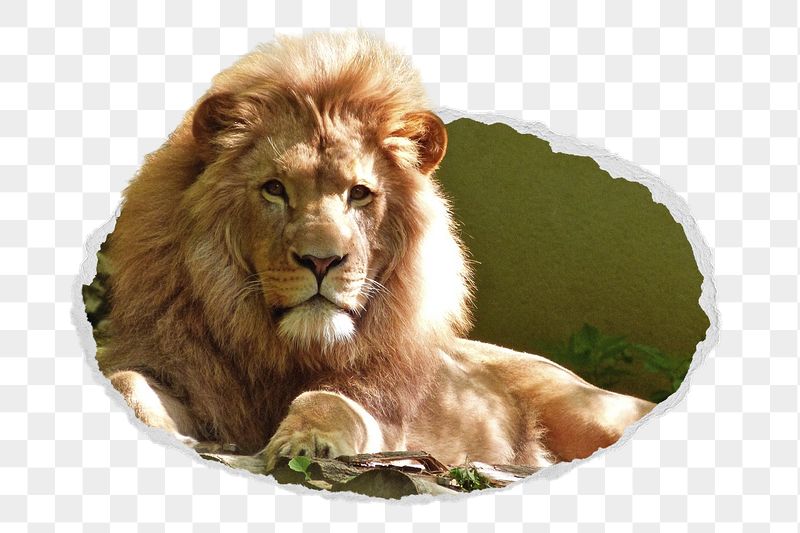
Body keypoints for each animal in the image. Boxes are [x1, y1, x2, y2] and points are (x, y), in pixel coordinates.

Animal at [98, 32, 654, 474]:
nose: (322, 261)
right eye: (275, 189)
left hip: (587, 410)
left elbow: (330, 401)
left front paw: (308, 440)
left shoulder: (380, 408)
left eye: (359, 194)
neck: (281, 349)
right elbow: (125, 379)